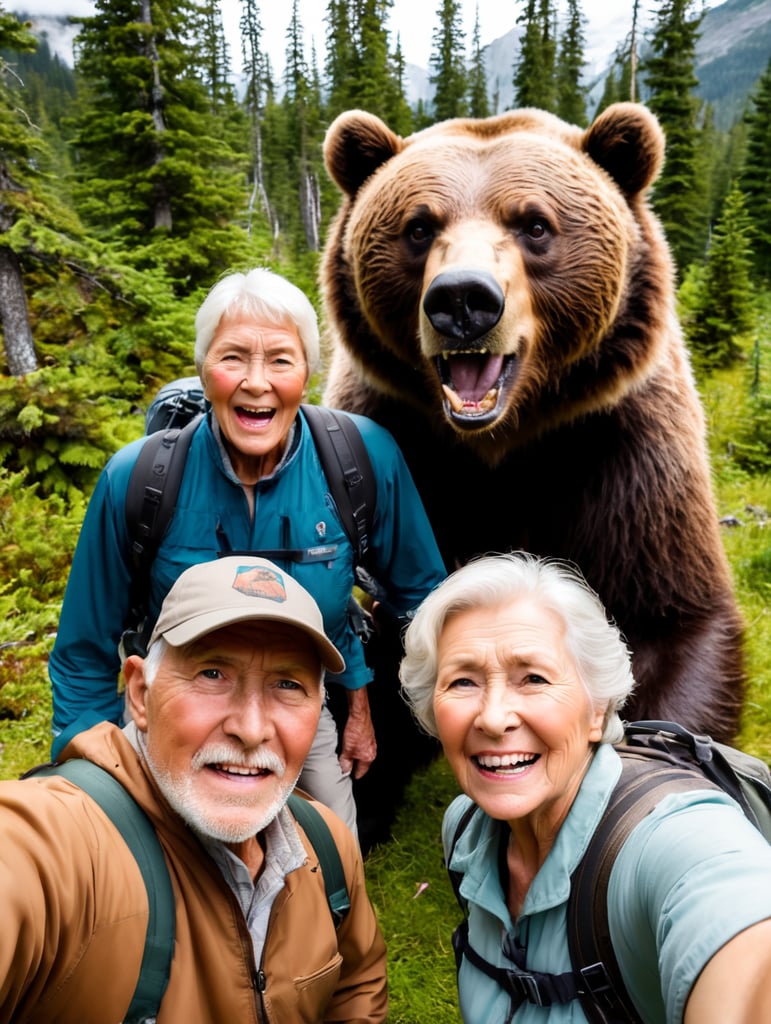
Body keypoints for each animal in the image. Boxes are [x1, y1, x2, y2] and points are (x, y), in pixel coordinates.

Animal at [320, 102, 745, 749]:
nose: (462, 300)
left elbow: (673, 625)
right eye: (419, 227)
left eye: (535, 224)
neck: (503, 441)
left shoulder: (622, 447)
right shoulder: (391, 434)